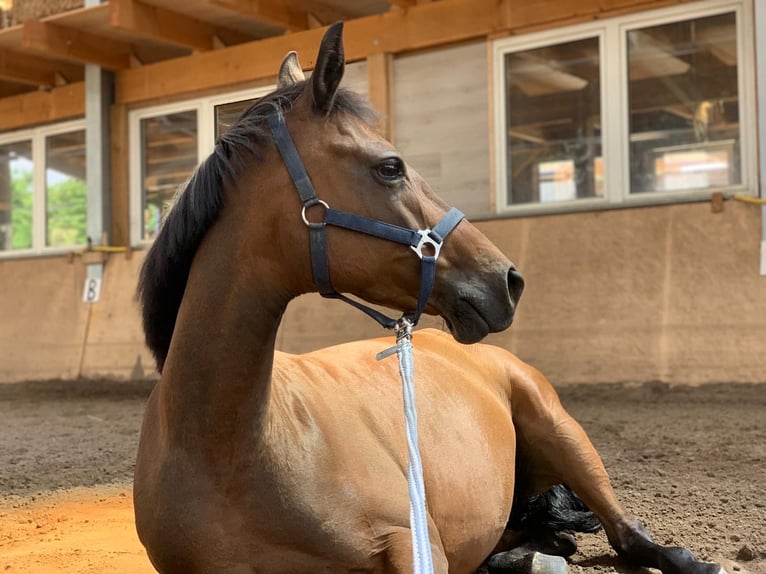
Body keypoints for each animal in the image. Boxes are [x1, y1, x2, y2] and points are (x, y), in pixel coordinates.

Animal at [135, 21, 728, 574]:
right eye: (390, 166)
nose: (508, 279)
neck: (229, 449)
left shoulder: (415, 544)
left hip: (565, 435)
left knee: (628, 535)